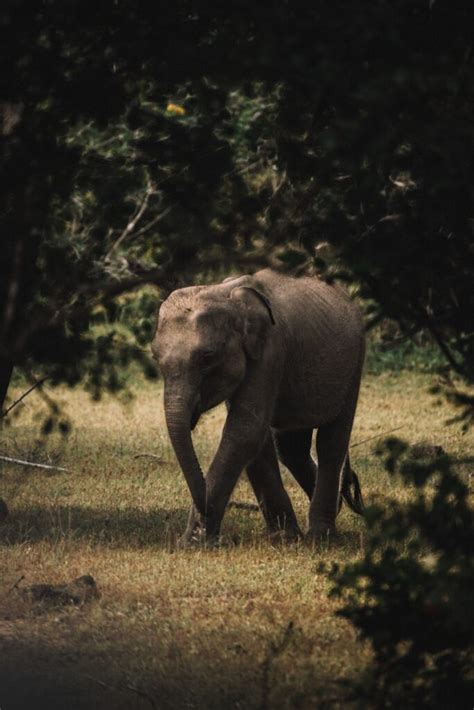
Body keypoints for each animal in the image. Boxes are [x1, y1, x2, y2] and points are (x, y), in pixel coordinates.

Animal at [150, 270, 364, 548]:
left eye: (207, 357)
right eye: (155, 357)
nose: (204, 507)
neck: (225, 294)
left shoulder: (271, 350)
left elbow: (245, 430)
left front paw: (193, 543)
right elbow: (254, 437)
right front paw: (284, 538)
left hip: (355, 363)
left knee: (331, 442)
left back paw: (321, 536)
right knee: (291, 448)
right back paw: (333, 508)